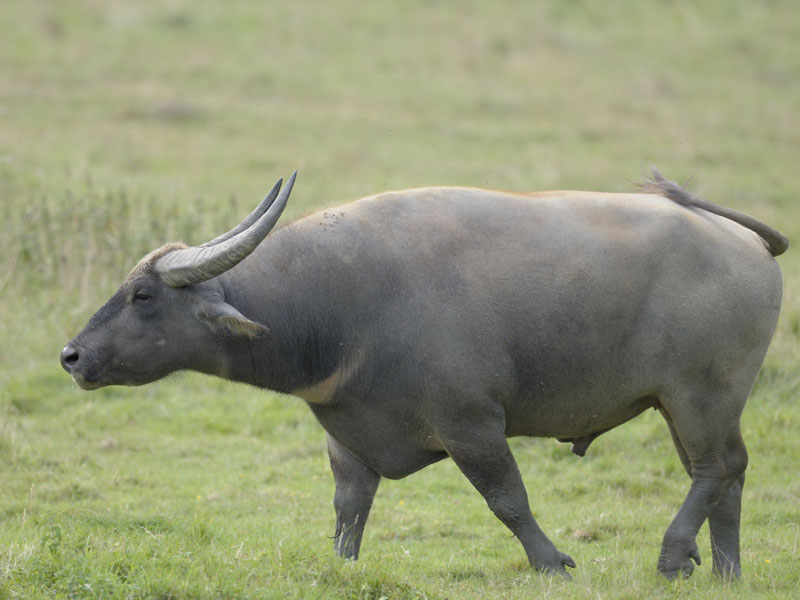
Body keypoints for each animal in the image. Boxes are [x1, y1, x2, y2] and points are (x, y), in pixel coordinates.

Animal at [61, 169, 787, 579]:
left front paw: (552, 562)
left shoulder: (471, 423)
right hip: (682, 404)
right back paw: (725, 570)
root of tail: (743, 241)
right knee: (728, 476)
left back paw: (672, 555)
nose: (71, 356)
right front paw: (342, 569)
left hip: (700, 395)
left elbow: (507, 499)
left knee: (717, 469)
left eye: (143, 296)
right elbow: (349, 509)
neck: (338, 301)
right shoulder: (349, 435)